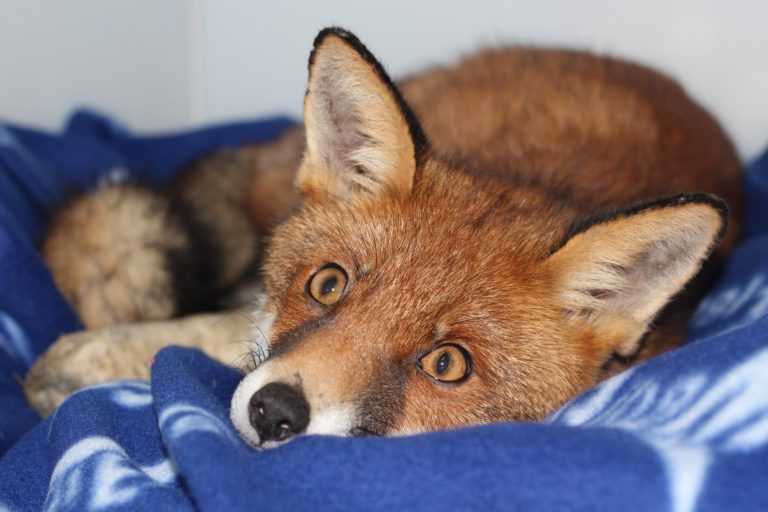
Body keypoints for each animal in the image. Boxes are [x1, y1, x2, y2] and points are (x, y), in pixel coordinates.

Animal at [25, 27, 743, 449]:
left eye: (447, 364)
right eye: (327, 284)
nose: (274, 413)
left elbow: (218, 336)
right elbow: (217, 328)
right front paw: (89, 358)